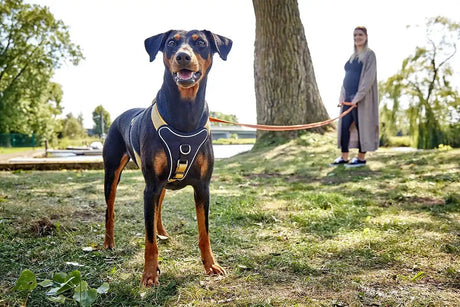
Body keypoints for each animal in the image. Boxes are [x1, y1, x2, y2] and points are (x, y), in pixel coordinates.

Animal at [102, 30, 232, 288]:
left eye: (201, 42)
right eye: (172, 42)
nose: (183, 57)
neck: (185, 112)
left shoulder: (202, 186)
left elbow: (204, 231)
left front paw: (211, 265)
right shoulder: (150, 186)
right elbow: (148, 238)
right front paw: (149, 274)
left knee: (158, 209)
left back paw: (162, 231)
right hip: (112, 173)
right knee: (110, 210)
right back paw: (109, 242)